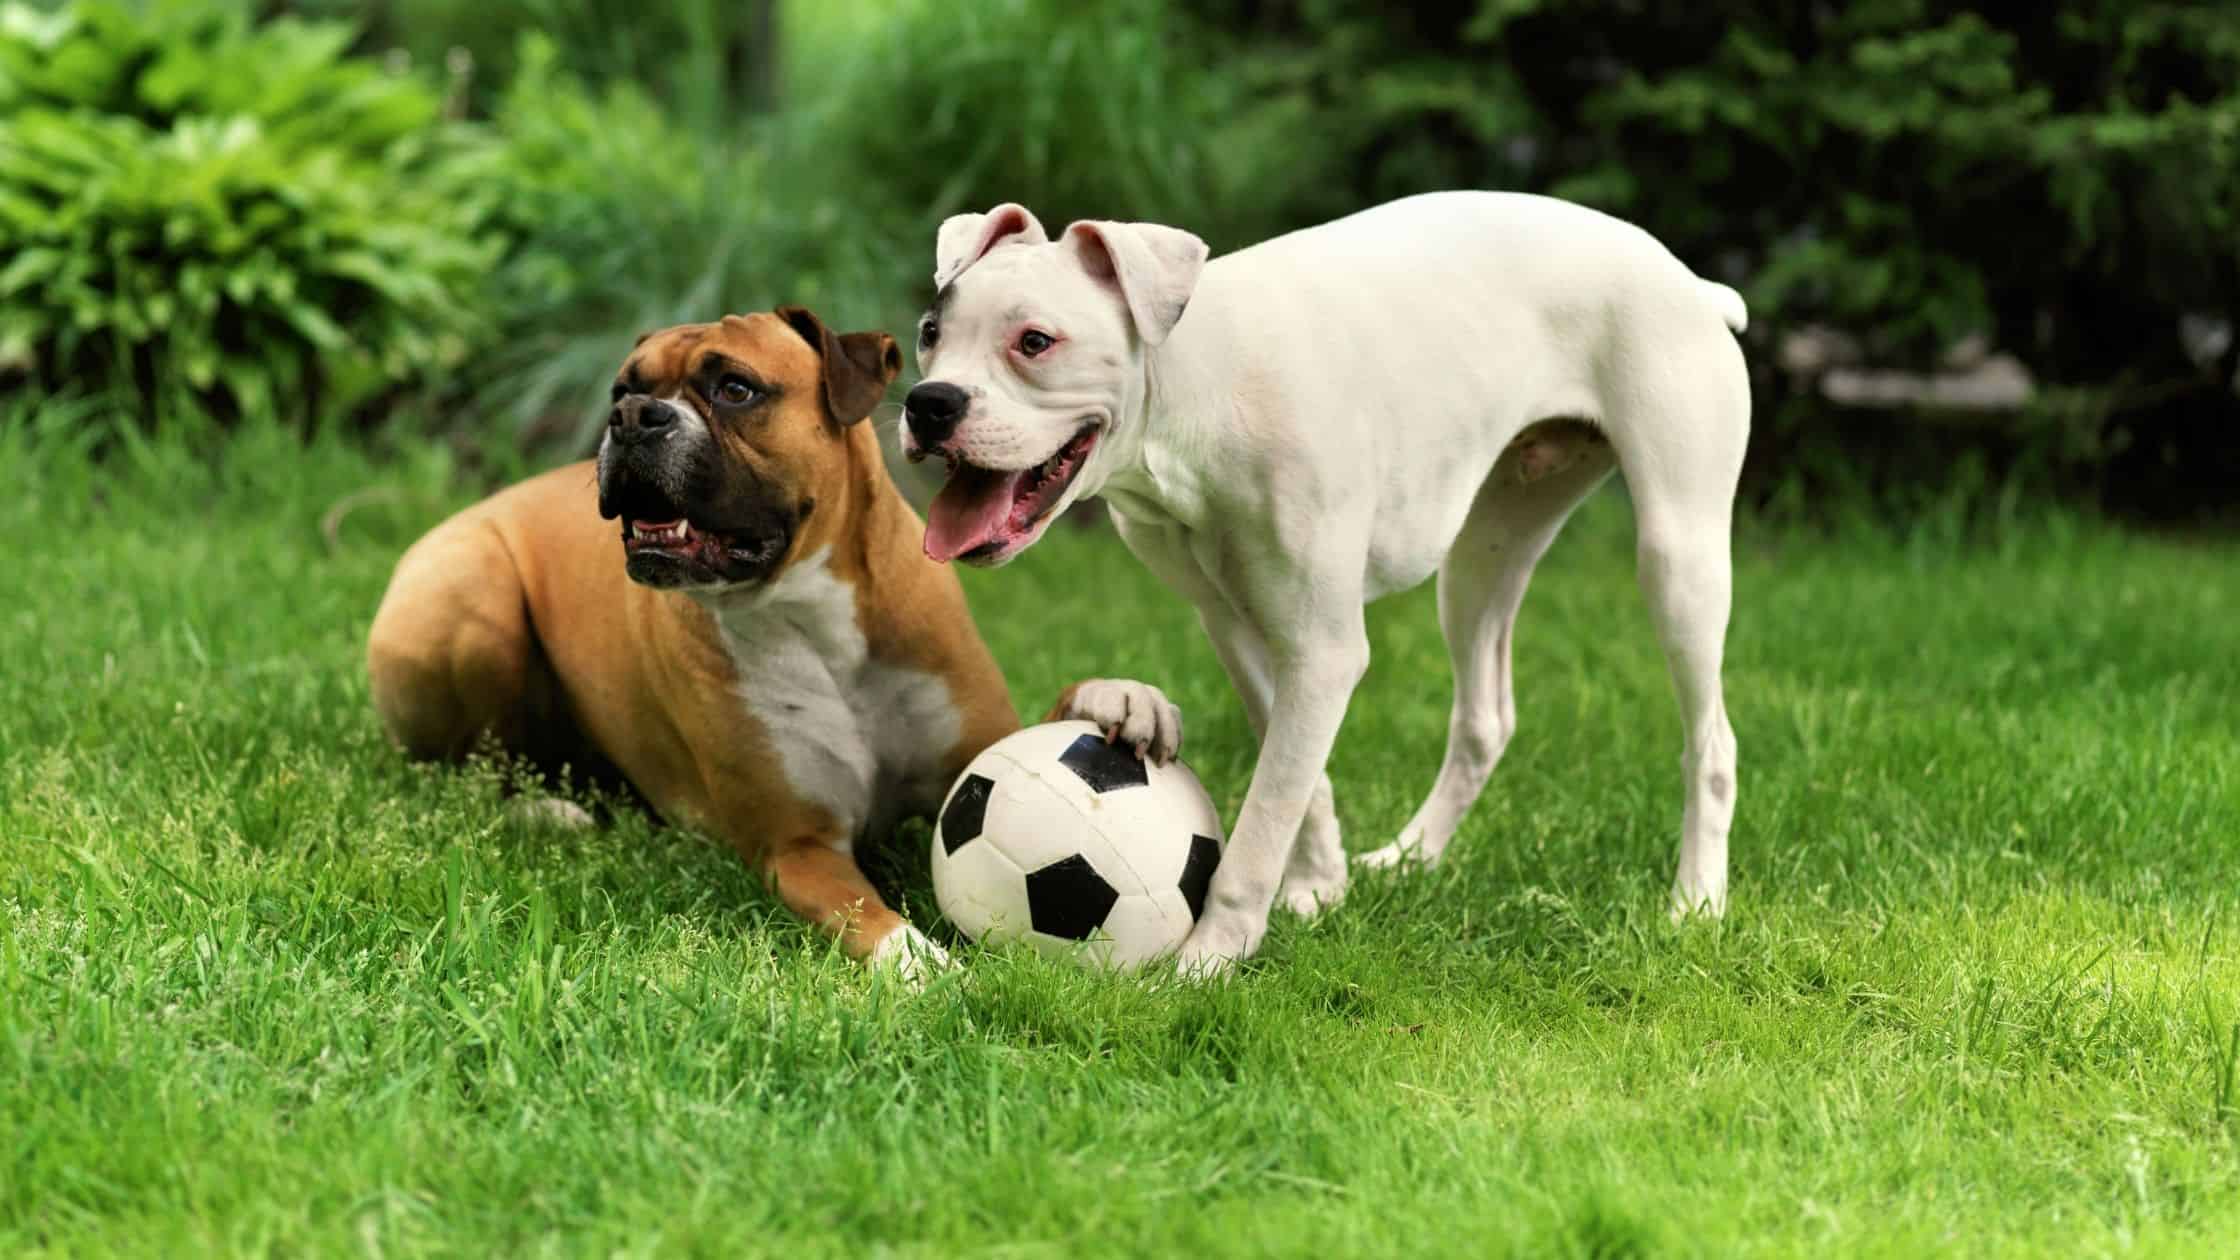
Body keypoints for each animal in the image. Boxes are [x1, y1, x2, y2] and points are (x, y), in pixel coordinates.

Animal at [367, 307, 1066, 973]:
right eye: (622, 389)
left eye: (735, 389)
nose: (632, 416)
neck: (813, 617)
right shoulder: (799, 848)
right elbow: (872, 917)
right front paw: (931, 970)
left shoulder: (977, 756)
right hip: (474, 591)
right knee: (468, 768)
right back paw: (547, 812)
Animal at [900, 191, 1738, 973]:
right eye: (931, 333)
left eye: (1035, 342)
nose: (928, 403)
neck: (1201, 394)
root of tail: (1695, 286)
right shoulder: (1240, 630)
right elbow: (1299, 778)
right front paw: (1320, 886)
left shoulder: (1322, 649)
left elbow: (1263, 819)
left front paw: (1210, 960)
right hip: (1481, 559)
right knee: (1485, 719)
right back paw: (1409, 859)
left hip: (1678, 558)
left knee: (1712, 745)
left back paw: (1695, 902)